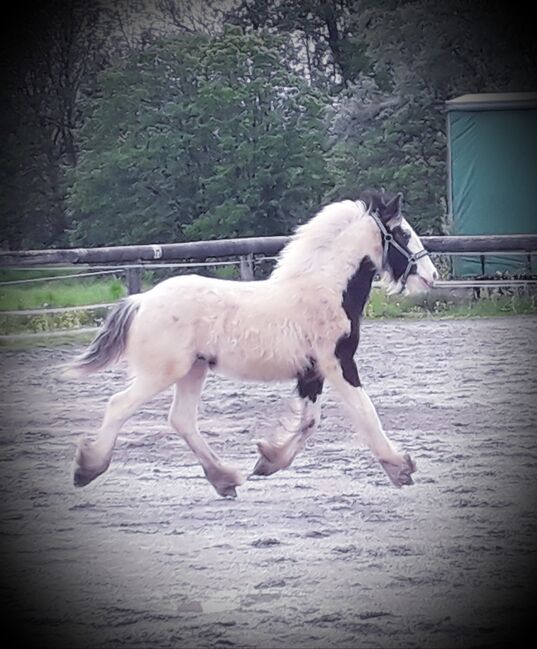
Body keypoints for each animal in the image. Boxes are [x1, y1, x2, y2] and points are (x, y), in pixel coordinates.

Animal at [67, 189, 438, 496]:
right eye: (403, 233)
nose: (432, 276)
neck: (325, 290)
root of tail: (140, 301)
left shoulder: (312, 373)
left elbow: (310, 422)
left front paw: (268, 461)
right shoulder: (338, 364)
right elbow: (365, 412)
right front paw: (401, 468)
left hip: (193, 371)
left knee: (181, 419)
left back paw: (225, 479)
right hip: (162, 372)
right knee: (119, 405)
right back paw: (87, 469)